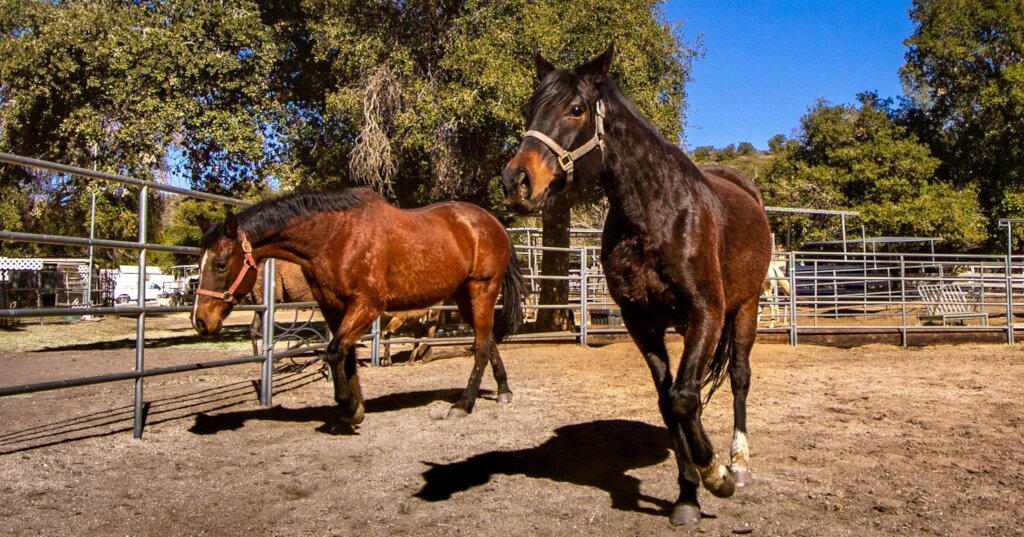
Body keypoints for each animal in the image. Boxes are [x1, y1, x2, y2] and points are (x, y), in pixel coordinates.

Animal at [501, 46, 772, 526]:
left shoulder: (707, 313)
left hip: (747, 307)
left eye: (576, 109)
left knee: (739, 377)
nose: (517, 182)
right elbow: (670, 401)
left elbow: (684, 397)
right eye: (528, 109)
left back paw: (738, 464)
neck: (655, 213)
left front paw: (715, 475)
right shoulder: (640, 321)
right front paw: (688, 495)